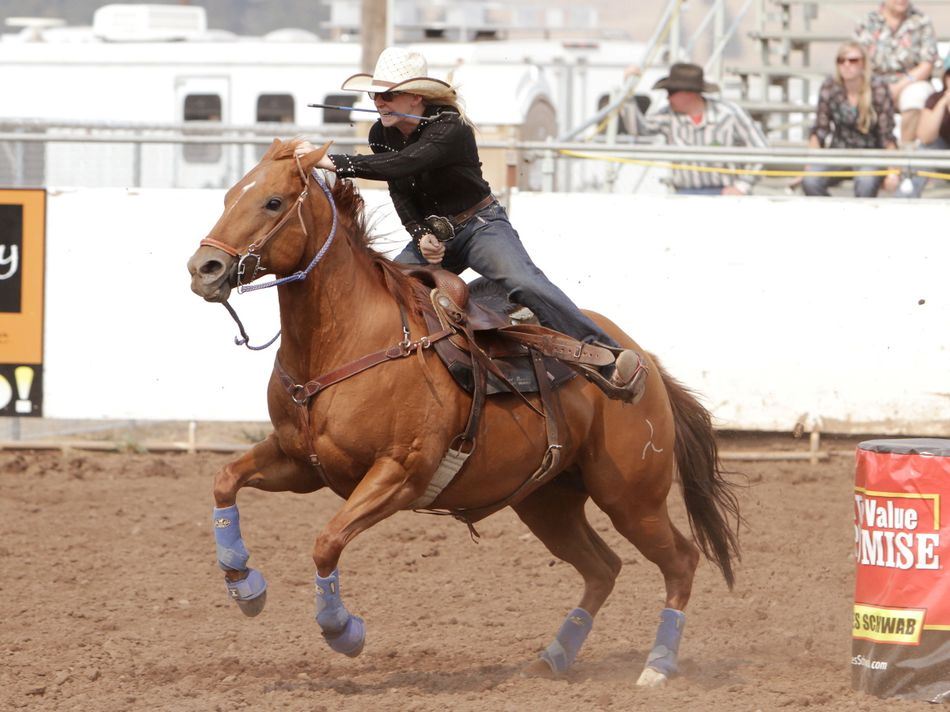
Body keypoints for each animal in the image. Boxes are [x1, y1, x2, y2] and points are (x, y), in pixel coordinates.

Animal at [186, 138, 741, 685]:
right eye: (229, 196)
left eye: (272, 202)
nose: (202, 269)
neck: (349, 339)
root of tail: (645, 360)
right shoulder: (300, 462)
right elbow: (224, 479)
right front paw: (244, 584)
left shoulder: (399, 474)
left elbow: (326, 541)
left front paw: (343, 631)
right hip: (548, 500)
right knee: (603, 567)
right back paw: (554, 657)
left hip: (630, 497)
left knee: (681, 561)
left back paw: (657, 666)